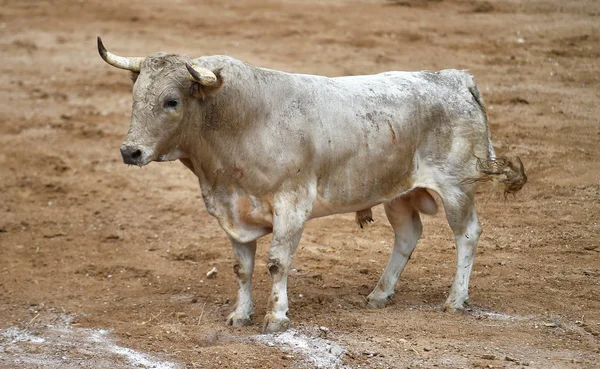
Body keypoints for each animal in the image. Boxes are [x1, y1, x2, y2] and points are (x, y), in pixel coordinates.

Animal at [98, 36, 524, 332]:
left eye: (171, 101)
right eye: (136, 95)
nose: (130, 151)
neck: (239, 123)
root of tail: (457, 79)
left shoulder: (292, 205)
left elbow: (276, 262)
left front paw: (276, 317)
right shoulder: (235, 211)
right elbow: (242, 268)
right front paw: (240, 315)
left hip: (455, 188)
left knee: (467, 234)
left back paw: (455, 300)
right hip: (398, 192)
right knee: (407, 234)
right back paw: (380, 294)